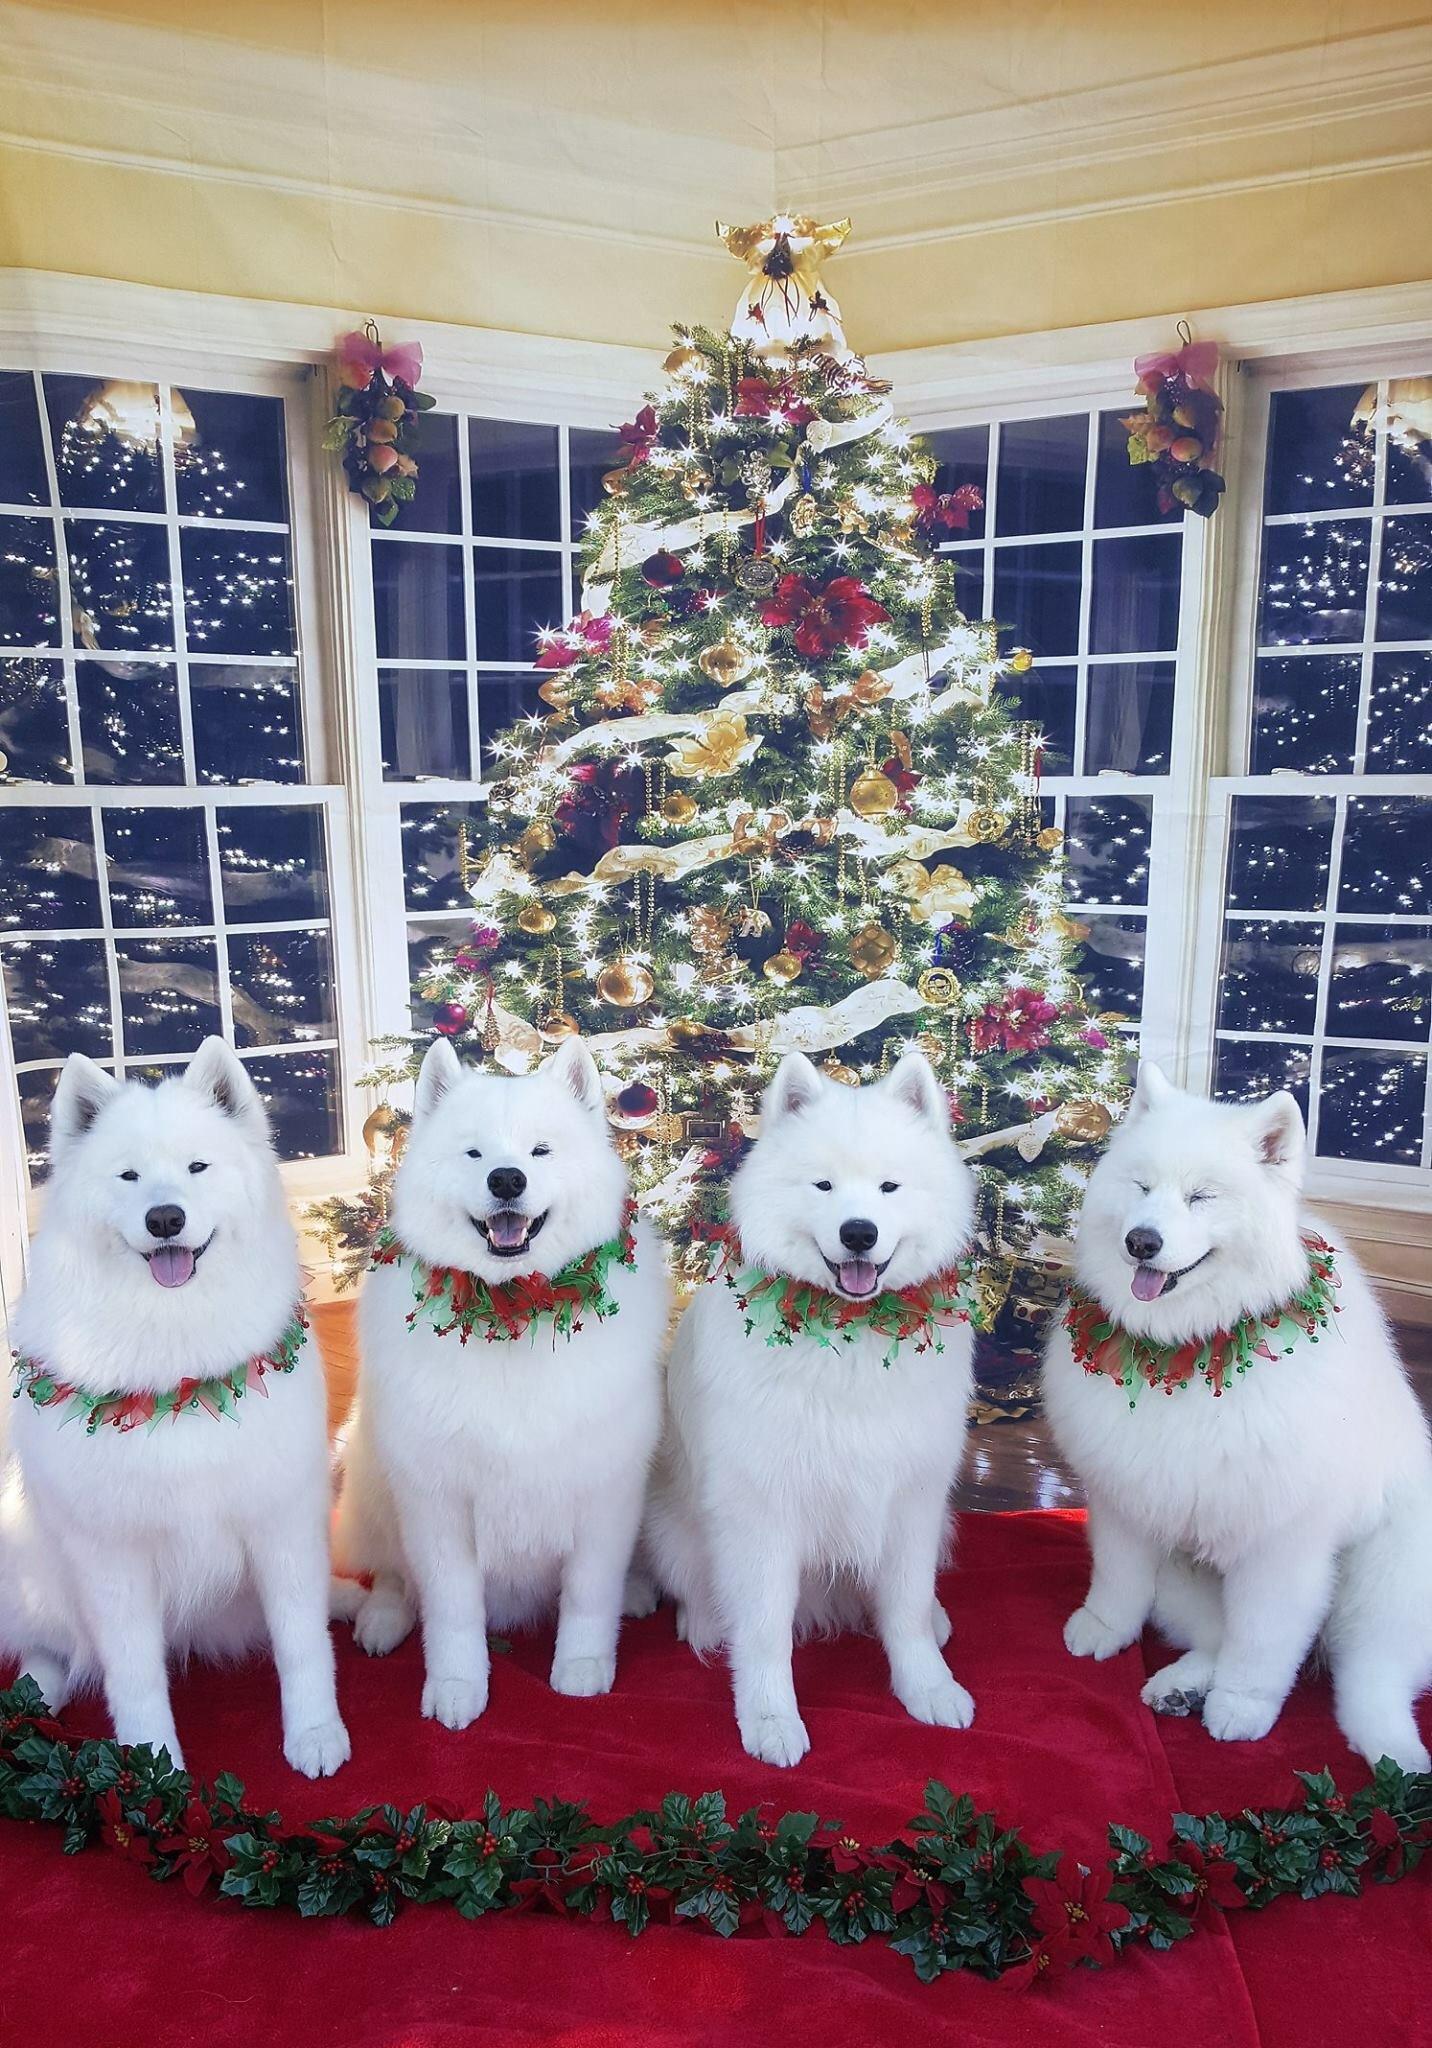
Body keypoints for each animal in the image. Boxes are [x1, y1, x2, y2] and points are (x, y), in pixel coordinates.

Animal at [0, 1040, 350, 1777]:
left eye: (197, 1167)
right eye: (128, 1176)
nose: (165, 1218)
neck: (180, 1377)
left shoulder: (281, 1522)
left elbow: (302, 1642)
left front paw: (314, 1733)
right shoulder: (113, 1558)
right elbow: (133, 1675)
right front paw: (150, 1766)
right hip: (35, 1574)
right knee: (48, 1647)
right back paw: (30, 1696)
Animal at [335, 1040, 671, 1728]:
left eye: (540, 1151)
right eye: (474, 1154)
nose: (507, 1179)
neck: (514, 1311)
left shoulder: (604, 1490)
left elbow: (588, 1595)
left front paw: (582, 1667)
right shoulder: (438, 1500)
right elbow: (452, 1611)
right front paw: (456, 1687)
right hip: (373, 1478)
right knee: (390, 1573)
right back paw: (383, 1618)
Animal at [643, 1048, 979, 1769]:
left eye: (889, 1187)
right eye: (822, 1186)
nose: (859, 1233)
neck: (846, 1333)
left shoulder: (912, 1500)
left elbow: (906, 1610)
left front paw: (928, 1687)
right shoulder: (764, 1511)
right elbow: (766, 1630)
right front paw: (770, 1717)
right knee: (699, 1587)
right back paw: (703, 1621)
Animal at [1040, 1064, 1432, 1769]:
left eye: (1202, 1197)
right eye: (1141, 1186)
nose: (1142, 1240)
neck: (1193, 1348)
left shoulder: (1284, 1545)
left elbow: (1263, 1645)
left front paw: (1242, 1709)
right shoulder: (1126, 1499)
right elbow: (1118, 1581)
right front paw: (1103, 1630)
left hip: (1387, 1581)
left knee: (1371, 1679)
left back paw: (1398, 1758)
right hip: (1184, 1570)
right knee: (1215, 1638)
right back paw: (1176, 1686)